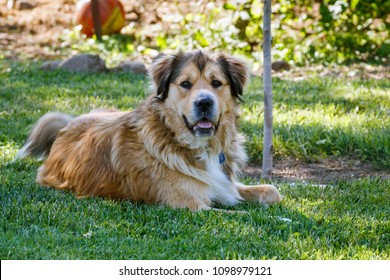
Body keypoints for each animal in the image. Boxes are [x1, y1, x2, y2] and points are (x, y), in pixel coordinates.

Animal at [16, 51, 280, 211]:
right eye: (185, 84)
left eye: (217, 83)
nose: (204, 102)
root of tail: (66, 127)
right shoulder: (191, 205)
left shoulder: (225, 186)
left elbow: (273, 191)